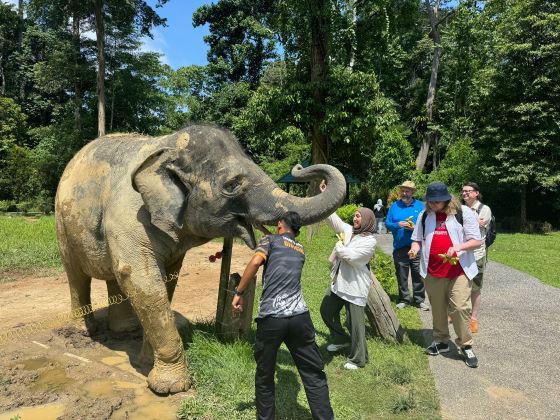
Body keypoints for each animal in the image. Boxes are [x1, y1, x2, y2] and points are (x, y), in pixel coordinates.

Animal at [55, 124, 346, 394]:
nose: (299, 167)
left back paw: (124, 331)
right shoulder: (128, 217)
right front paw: (170, 388)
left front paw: (147, 363)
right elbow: (141, 278)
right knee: (77, 275)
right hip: (63, 224)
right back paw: (83, 331)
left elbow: (165, 281)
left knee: (114, 277)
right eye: (231, 185)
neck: (169, 146)